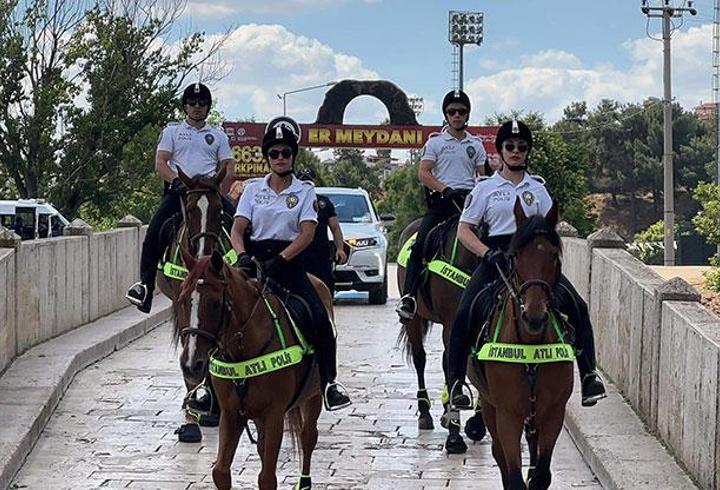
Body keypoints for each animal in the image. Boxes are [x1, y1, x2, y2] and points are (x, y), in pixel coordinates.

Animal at [177, 251, 330, 490]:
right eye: (183, 299)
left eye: (215, 303)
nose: (191, 365)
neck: (244, 349)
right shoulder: (231, 414)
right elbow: (220, 472)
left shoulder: (275, 414)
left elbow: (267, 478)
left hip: (312, 396)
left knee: (308, 437)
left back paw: (304, 482)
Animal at [466, 200, 572, 490]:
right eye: (515, 257)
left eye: (554, 257)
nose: (534, 316)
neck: (531, 348)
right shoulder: (507, 415)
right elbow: (513, 475)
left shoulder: (553, 413)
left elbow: (541, 476)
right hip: (490, 407)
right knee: (499, 455)